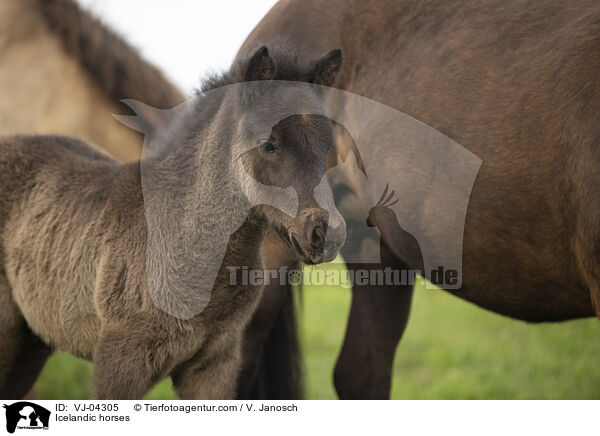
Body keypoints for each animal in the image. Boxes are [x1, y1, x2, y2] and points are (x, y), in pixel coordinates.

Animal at [0, 46, 344, 400]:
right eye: (267, 145)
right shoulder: (119, 361)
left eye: (328, 146)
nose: (324, 233)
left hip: (32, 344)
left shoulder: (214, 367)